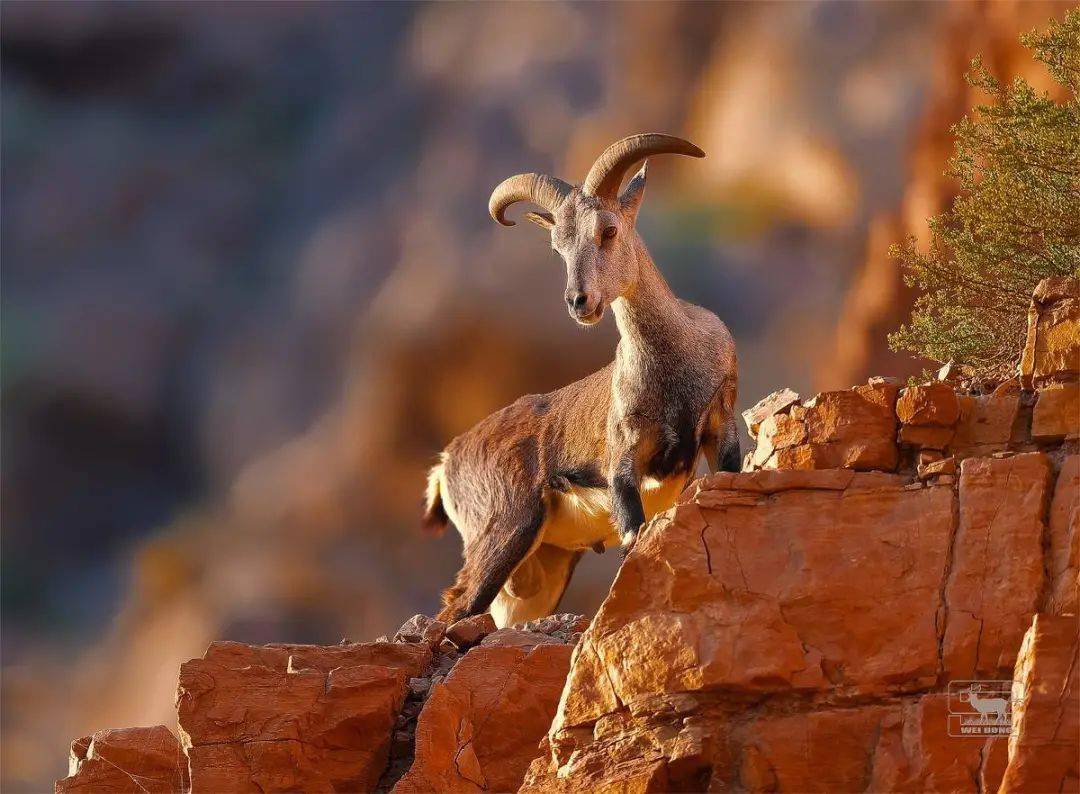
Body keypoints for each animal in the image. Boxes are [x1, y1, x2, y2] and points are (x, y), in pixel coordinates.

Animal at [416, 135, 738, 626]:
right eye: (558, 248)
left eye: (609, 230)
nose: (578, 301)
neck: (675, 365)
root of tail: (447, 462)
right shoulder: (623, 464)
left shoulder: (720, 425)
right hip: (505, 531)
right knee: (457, 607)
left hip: (540, 572)